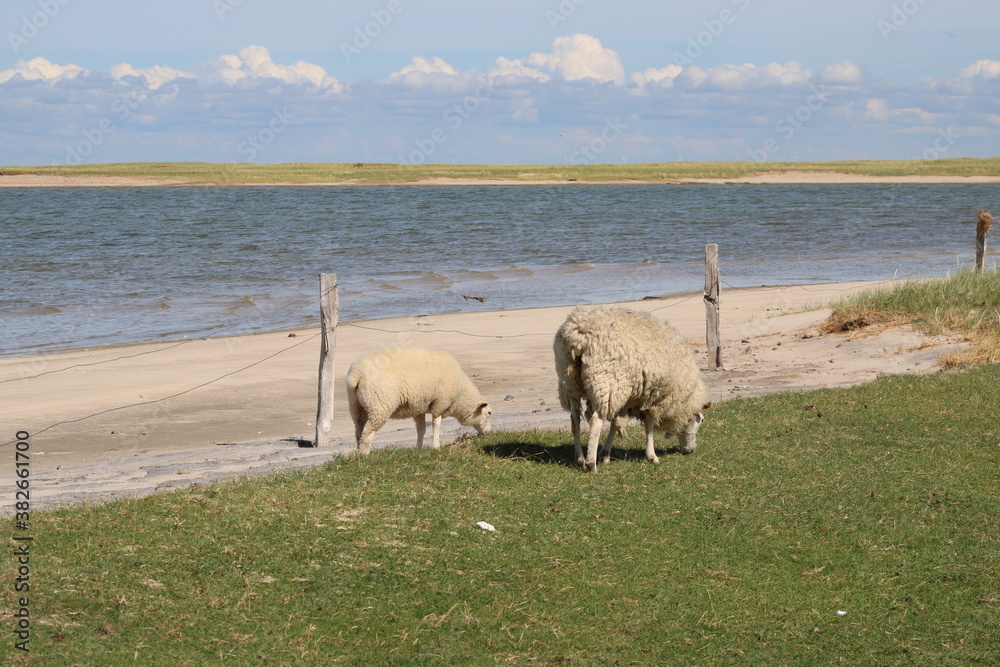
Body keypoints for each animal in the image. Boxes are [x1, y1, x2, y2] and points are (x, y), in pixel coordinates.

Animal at [346, 347, 493, 455]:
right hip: (380, 405)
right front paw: (436, 446)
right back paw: (365, 455)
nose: (489, 433)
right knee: (367, 433)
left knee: (358, 431)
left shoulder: (419, 407)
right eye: (489, 413)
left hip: (357, 406)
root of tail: (357, 373)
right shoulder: (441, 402)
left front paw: (419, 448)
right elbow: (436, 424)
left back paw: (358, 453)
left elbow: (421, 429)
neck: (461, 394)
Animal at [554, 306, 709, 472]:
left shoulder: (627, 397)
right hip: (606, 380)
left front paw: (605, 454)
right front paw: (652, 456)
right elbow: (649, 426)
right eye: (700, 421)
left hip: (570, 382)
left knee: (575, 419)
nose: (691, 450)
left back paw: (580, 458)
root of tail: (579, 334)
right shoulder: (652, 398)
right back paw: (590, 464)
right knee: (596, 420)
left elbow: (615, 424)